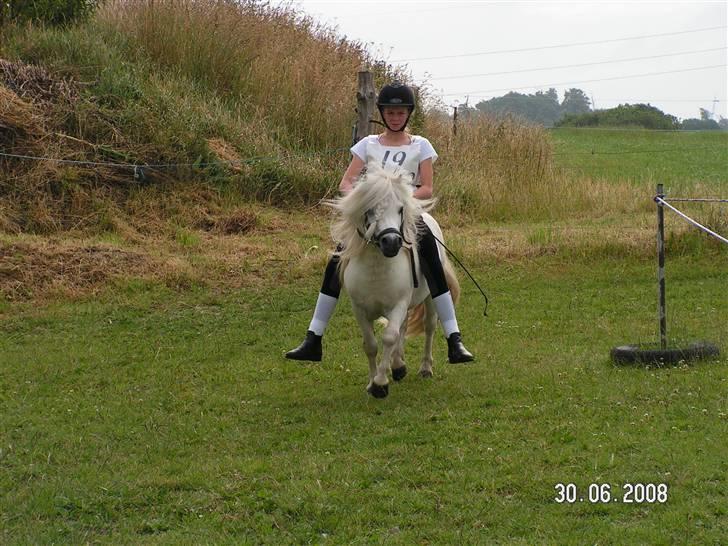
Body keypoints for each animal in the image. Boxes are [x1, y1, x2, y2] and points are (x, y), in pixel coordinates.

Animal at [328, 164, 458, 398]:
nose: (391, 242)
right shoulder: (359, 309)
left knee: (429, 327)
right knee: (403, 329)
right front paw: (373, 383)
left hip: (429, 299)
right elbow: (371, 344)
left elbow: (389, 337)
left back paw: (425, 368)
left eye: (400, 209)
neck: (376, 269)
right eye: (370, 209)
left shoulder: (398, 304)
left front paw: (381, 383)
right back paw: (397, 366)